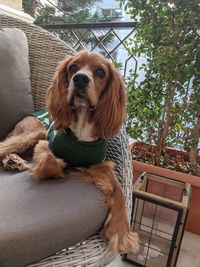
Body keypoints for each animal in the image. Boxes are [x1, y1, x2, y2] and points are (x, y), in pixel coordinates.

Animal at [0, 50, 138, 255]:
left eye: (100, 72)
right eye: (73, 67)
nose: (80, 79)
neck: (81, 126)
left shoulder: (100, 165)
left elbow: (119, 191)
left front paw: (120, 232)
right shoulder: (45, 143)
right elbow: (50, 162)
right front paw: (59, 166)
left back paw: (13, 161)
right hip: (34, 132)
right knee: (4, 146)